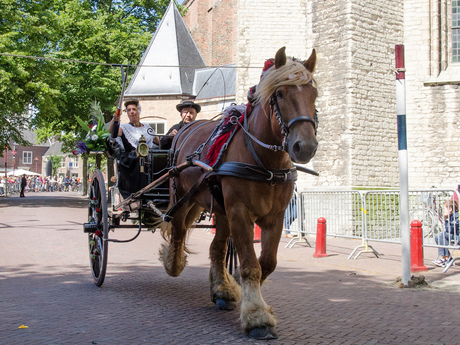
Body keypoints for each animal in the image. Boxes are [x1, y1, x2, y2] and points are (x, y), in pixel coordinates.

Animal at [158, 47, 316, 340]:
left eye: (314, 93)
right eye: (280, 94)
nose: (305, 146)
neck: (264, 162)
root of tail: (184, 129)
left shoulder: (274, 217)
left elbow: (266, 263)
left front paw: (246, 297)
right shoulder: (240, 213)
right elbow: (251, 265)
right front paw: (257, 317)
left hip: (219, 210)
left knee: (216, 249)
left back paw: (221, 290)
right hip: (183, 198)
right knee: (177, 231)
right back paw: (173, 264)